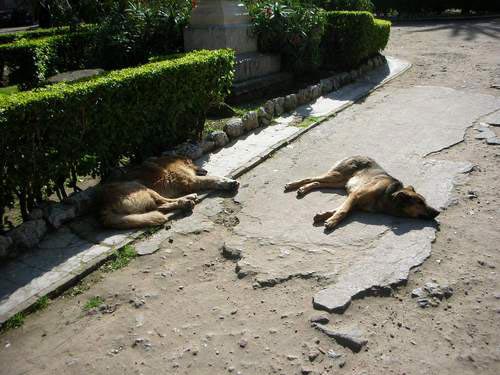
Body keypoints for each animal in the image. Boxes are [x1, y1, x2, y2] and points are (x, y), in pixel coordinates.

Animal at [98, 156, 239, 229]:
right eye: (193, 163)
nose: (205, 170)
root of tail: (102, 207)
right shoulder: (192, 180)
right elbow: (213, 178)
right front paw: (228, 182)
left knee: (160, 206)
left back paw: (186, 201)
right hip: (139, 186)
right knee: (162, 202)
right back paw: (187, 200)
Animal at [284, 156, 440, 232]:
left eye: (424, 201)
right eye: (419, 202)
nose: (438, 212)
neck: (388, 195)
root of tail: (357, 154)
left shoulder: (354, 201)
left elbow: (340, 209)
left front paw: (324, 215)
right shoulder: (355, 195)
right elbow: (343, 211)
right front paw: (332, 221)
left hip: (339, 182)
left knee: (317, 183)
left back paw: (303, 189)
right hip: (336, 175)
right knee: (311, 178)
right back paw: (293, 185)